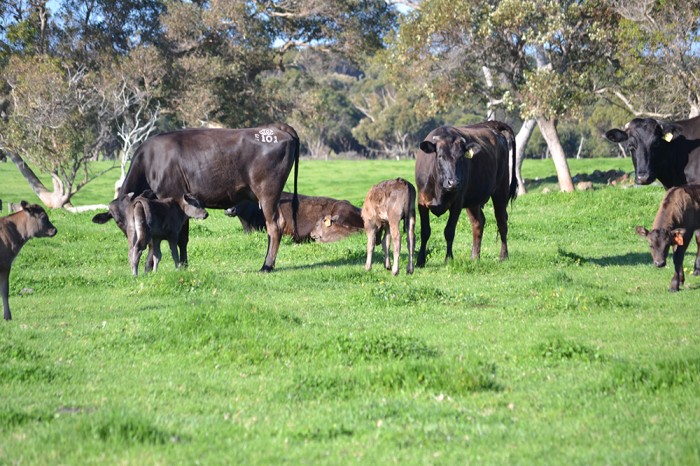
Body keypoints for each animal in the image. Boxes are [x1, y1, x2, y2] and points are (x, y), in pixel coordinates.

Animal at [92, 124, 299, 272]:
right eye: (118, 220)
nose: (132, 236)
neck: (149, 162)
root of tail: (275, 128)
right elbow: (180, 239)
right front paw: (182, 265)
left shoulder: (172, 200)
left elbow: (169, 238)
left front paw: (152, 267)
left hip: (267, 192)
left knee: (274, 226)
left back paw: (267, 265)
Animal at [414, 121, 517, 267]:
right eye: (440, 156)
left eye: (461, 157)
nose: (453, 183)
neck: (439, 187)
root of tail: (492, 126)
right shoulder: (422, 202)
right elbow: (425, 231)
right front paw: (420, 261)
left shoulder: (457, 204)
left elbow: (449, 231)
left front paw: (448, 259)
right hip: (473, 201)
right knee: (478, 223)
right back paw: (475, 257)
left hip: (500, 191)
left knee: (502, 222)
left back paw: (503, 256)